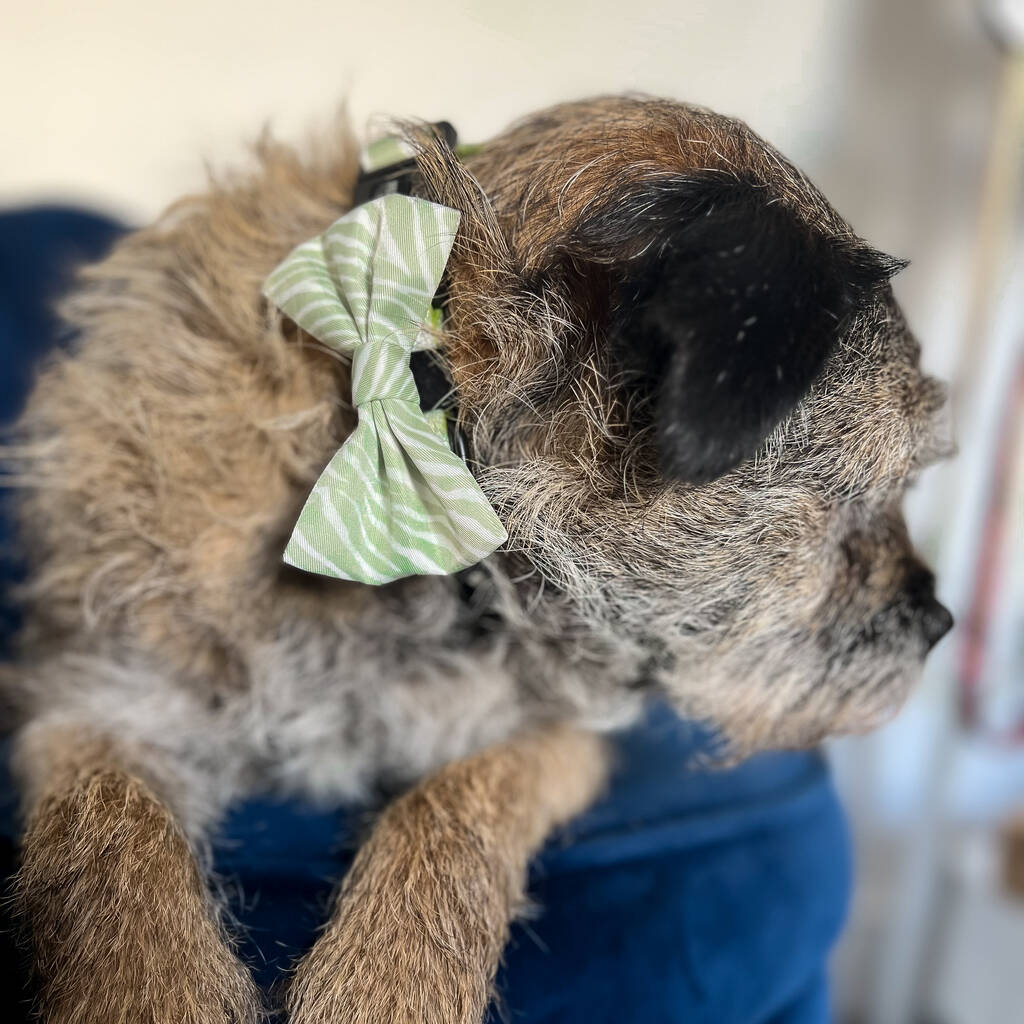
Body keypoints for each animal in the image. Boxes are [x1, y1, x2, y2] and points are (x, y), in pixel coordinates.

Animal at [4, 92, 954, 1019]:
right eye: (860, 502)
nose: (940, 623)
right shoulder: (102, 698)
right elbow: (112, 850)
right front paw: (155, 987)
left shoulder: (550, 737)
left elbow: (456, 806)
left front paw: (388, 986)